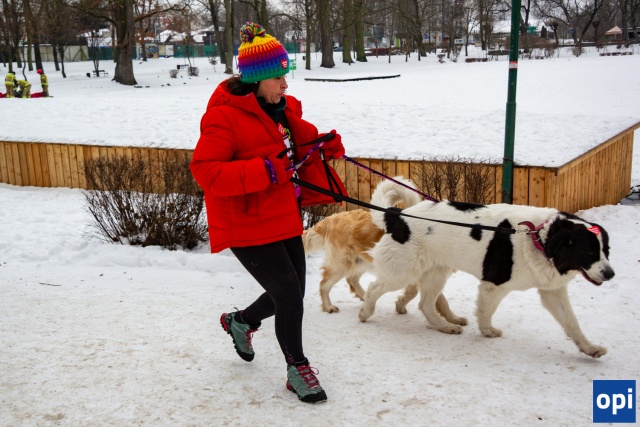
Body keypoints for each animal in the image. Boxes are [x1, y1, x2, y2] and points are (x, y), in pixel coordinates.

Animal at [303, 177, 467, 326]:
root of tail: (332, 217)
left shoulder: (422, 274)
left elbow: (429, 297)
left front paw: (453, 319)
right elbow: (433, 298)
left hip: (362, 261)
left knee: (352, 279)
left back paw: (364, 297)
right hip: (341, 265)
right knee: (324, 284)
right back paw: (329, 306)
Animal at [358, 182, 615, 358]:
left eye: (606, 250)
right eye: (590, 253)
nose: (610, 274)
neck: (539, 238)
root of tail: (398, 216)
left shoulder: (553, 292)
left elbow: (572, 323)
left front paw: (590, 348)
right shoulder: (494, 285)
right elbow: (486, 311)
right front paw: (487, 330)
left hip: (436, 272)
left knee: (425, 304)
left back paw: (444, 326)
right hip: (402, 271)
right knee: (374, 287)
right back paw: (365, 312)